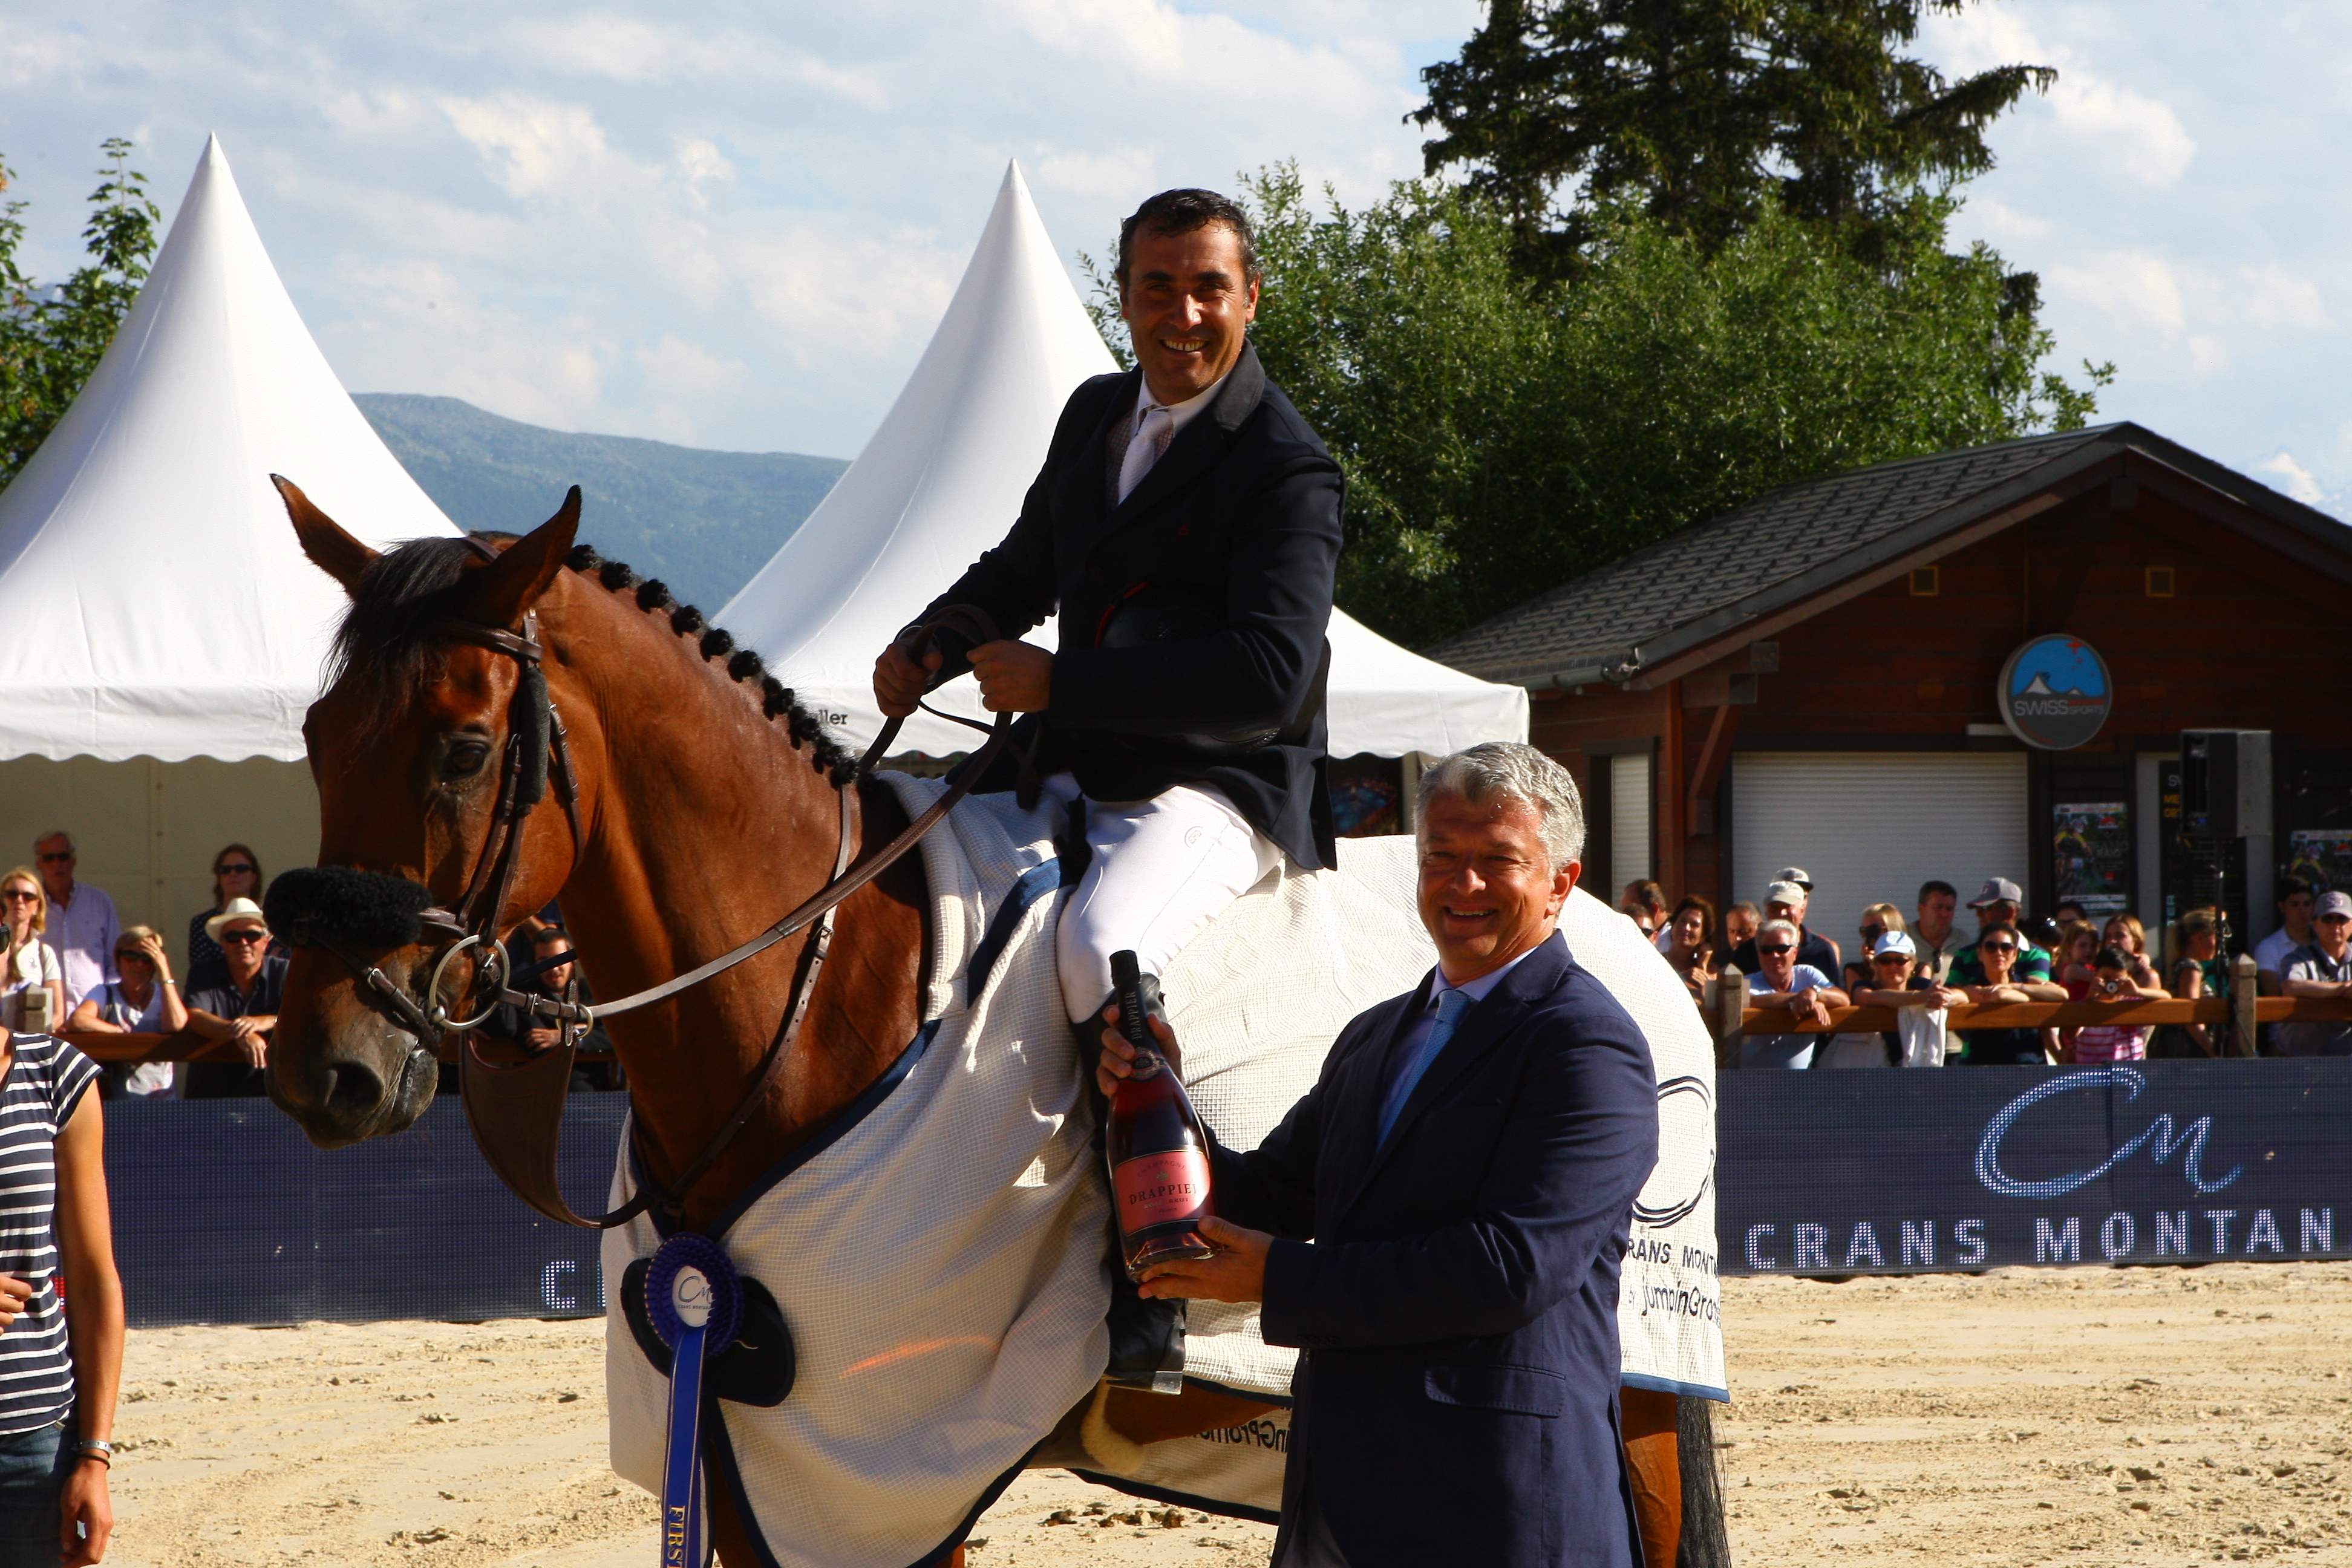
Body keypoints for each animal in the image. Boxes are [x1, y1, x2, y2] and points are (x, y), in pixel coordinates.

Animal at [264, 484, 1279, 1568]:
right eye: (318, 737)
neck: (821, 990)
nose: (319, 1072)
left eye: (465, 749)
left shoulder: (897, 1471)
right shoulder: (740, 1444)